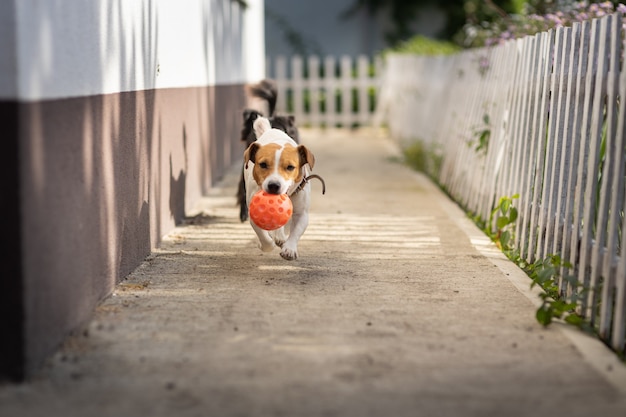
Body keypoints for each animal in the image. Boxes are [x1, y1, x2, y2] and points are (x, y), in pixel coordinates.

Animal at [243, 117, 314, 258]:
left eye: (290, 167)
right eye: (263, 164)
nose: (274, 185)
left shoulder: (302, 213)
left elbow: (296, 231)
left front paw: (289, 249)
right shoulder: (253, 213)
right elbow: (263, 236)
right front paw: (266, 245)